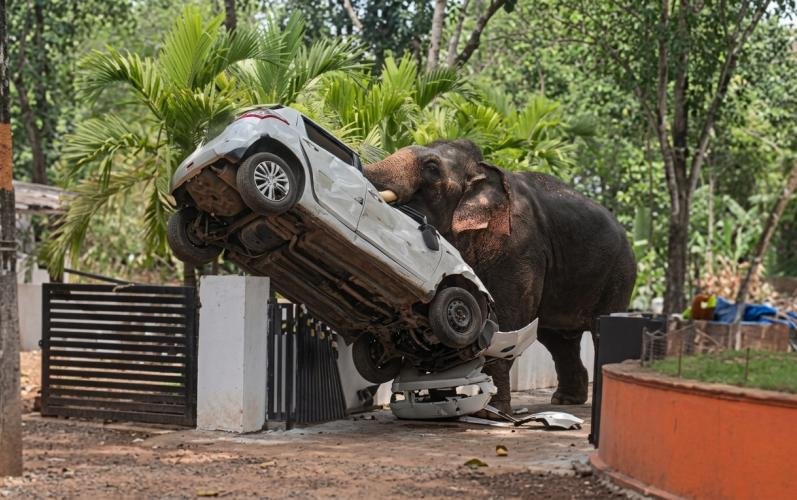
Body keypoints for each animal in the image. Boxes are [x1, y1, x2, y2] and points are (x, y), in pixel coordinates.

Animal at [364, 140, 636, 410]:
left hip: (619, 275)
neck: (481, 170)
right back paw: (565, 401)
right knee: (557, 338)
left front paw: (491, 412)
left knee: (596, 328)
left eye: (432, 168)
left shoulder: (518, 246)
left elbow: (508, 317)